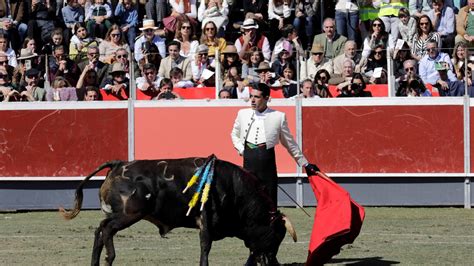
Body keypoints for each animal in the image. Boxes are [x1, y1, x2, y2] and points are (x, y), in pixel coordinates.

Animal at [59, 157, 296, 264]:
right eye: (276, 235)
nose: (273, 261)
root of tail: (118, 164)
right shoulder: (205, 221)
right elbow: (205, 247)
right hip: (129, 215)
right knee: (106, 229)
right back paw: (110, 257)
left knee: (99, 231)